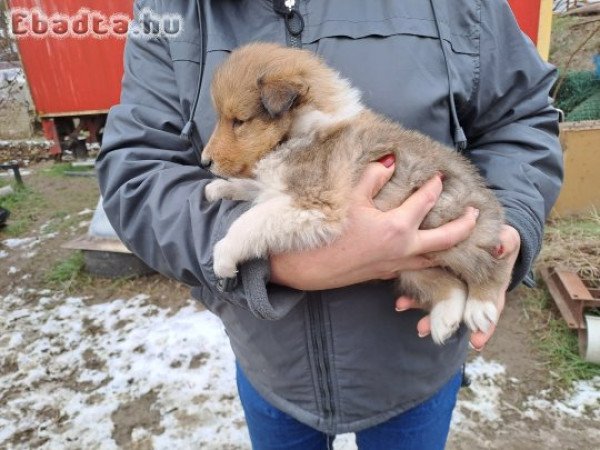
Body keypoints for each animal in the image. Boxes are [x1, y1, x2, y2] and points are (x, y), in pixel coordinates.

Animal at [203, 43, 510, 344]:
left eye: (239, 121)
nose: (205, 162)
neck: (300, 129)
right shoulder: (278, 188)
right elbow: (253, 187)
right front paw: (217, 189)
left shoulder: (316, 202)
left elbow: (250, 221)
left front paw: (223, 257)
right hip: (415, 261)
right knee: (452, 284)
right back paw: (445, 318)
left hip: (450, 226)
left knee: (493, 263)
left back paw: (481, 306)